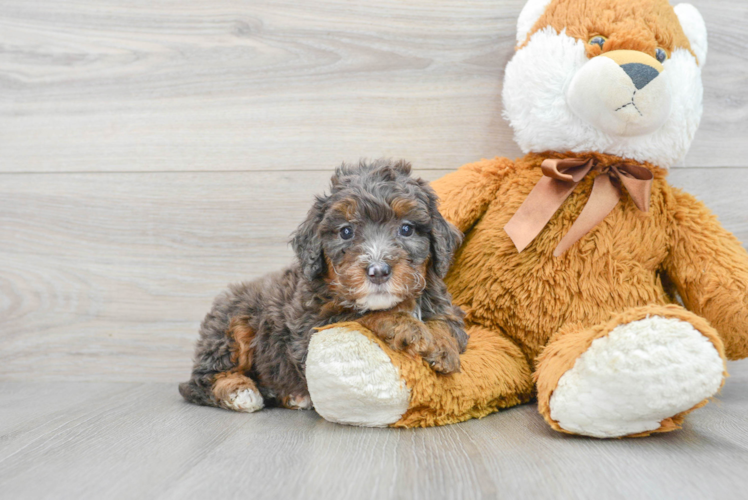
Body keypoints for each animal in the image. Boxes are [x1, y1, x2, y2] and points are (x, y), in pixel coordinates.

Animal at [179, 158, 468, 412]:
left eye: (406, 229)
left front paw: (443, 347)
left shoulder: (442, 303)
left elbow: (445, 322)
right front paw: (407, 326)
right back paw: (241, 392)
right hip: (233, 325)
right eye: (346, 232)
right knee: (199, 381)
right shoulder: (310, 329)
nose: (378, 271)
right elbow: (362, 316)